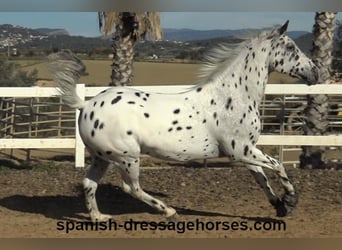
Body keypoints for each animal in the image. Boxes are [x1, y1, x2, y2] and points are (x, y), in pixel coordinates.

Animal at [49, 20, 320, 222]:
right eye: (292, 48)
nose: (315, 72)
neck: (232, 96)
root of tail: (86, 105)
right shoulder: (240, 150)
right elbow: (277, 165)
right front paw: (290, 200)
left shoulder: (245, 151)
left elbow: (261, 178)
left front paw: (280, 207)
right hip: (126, 157)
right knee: (131, 188)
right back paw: (168, 211)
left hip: (102, 157)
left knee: (89, 183)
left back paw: (99, 217)